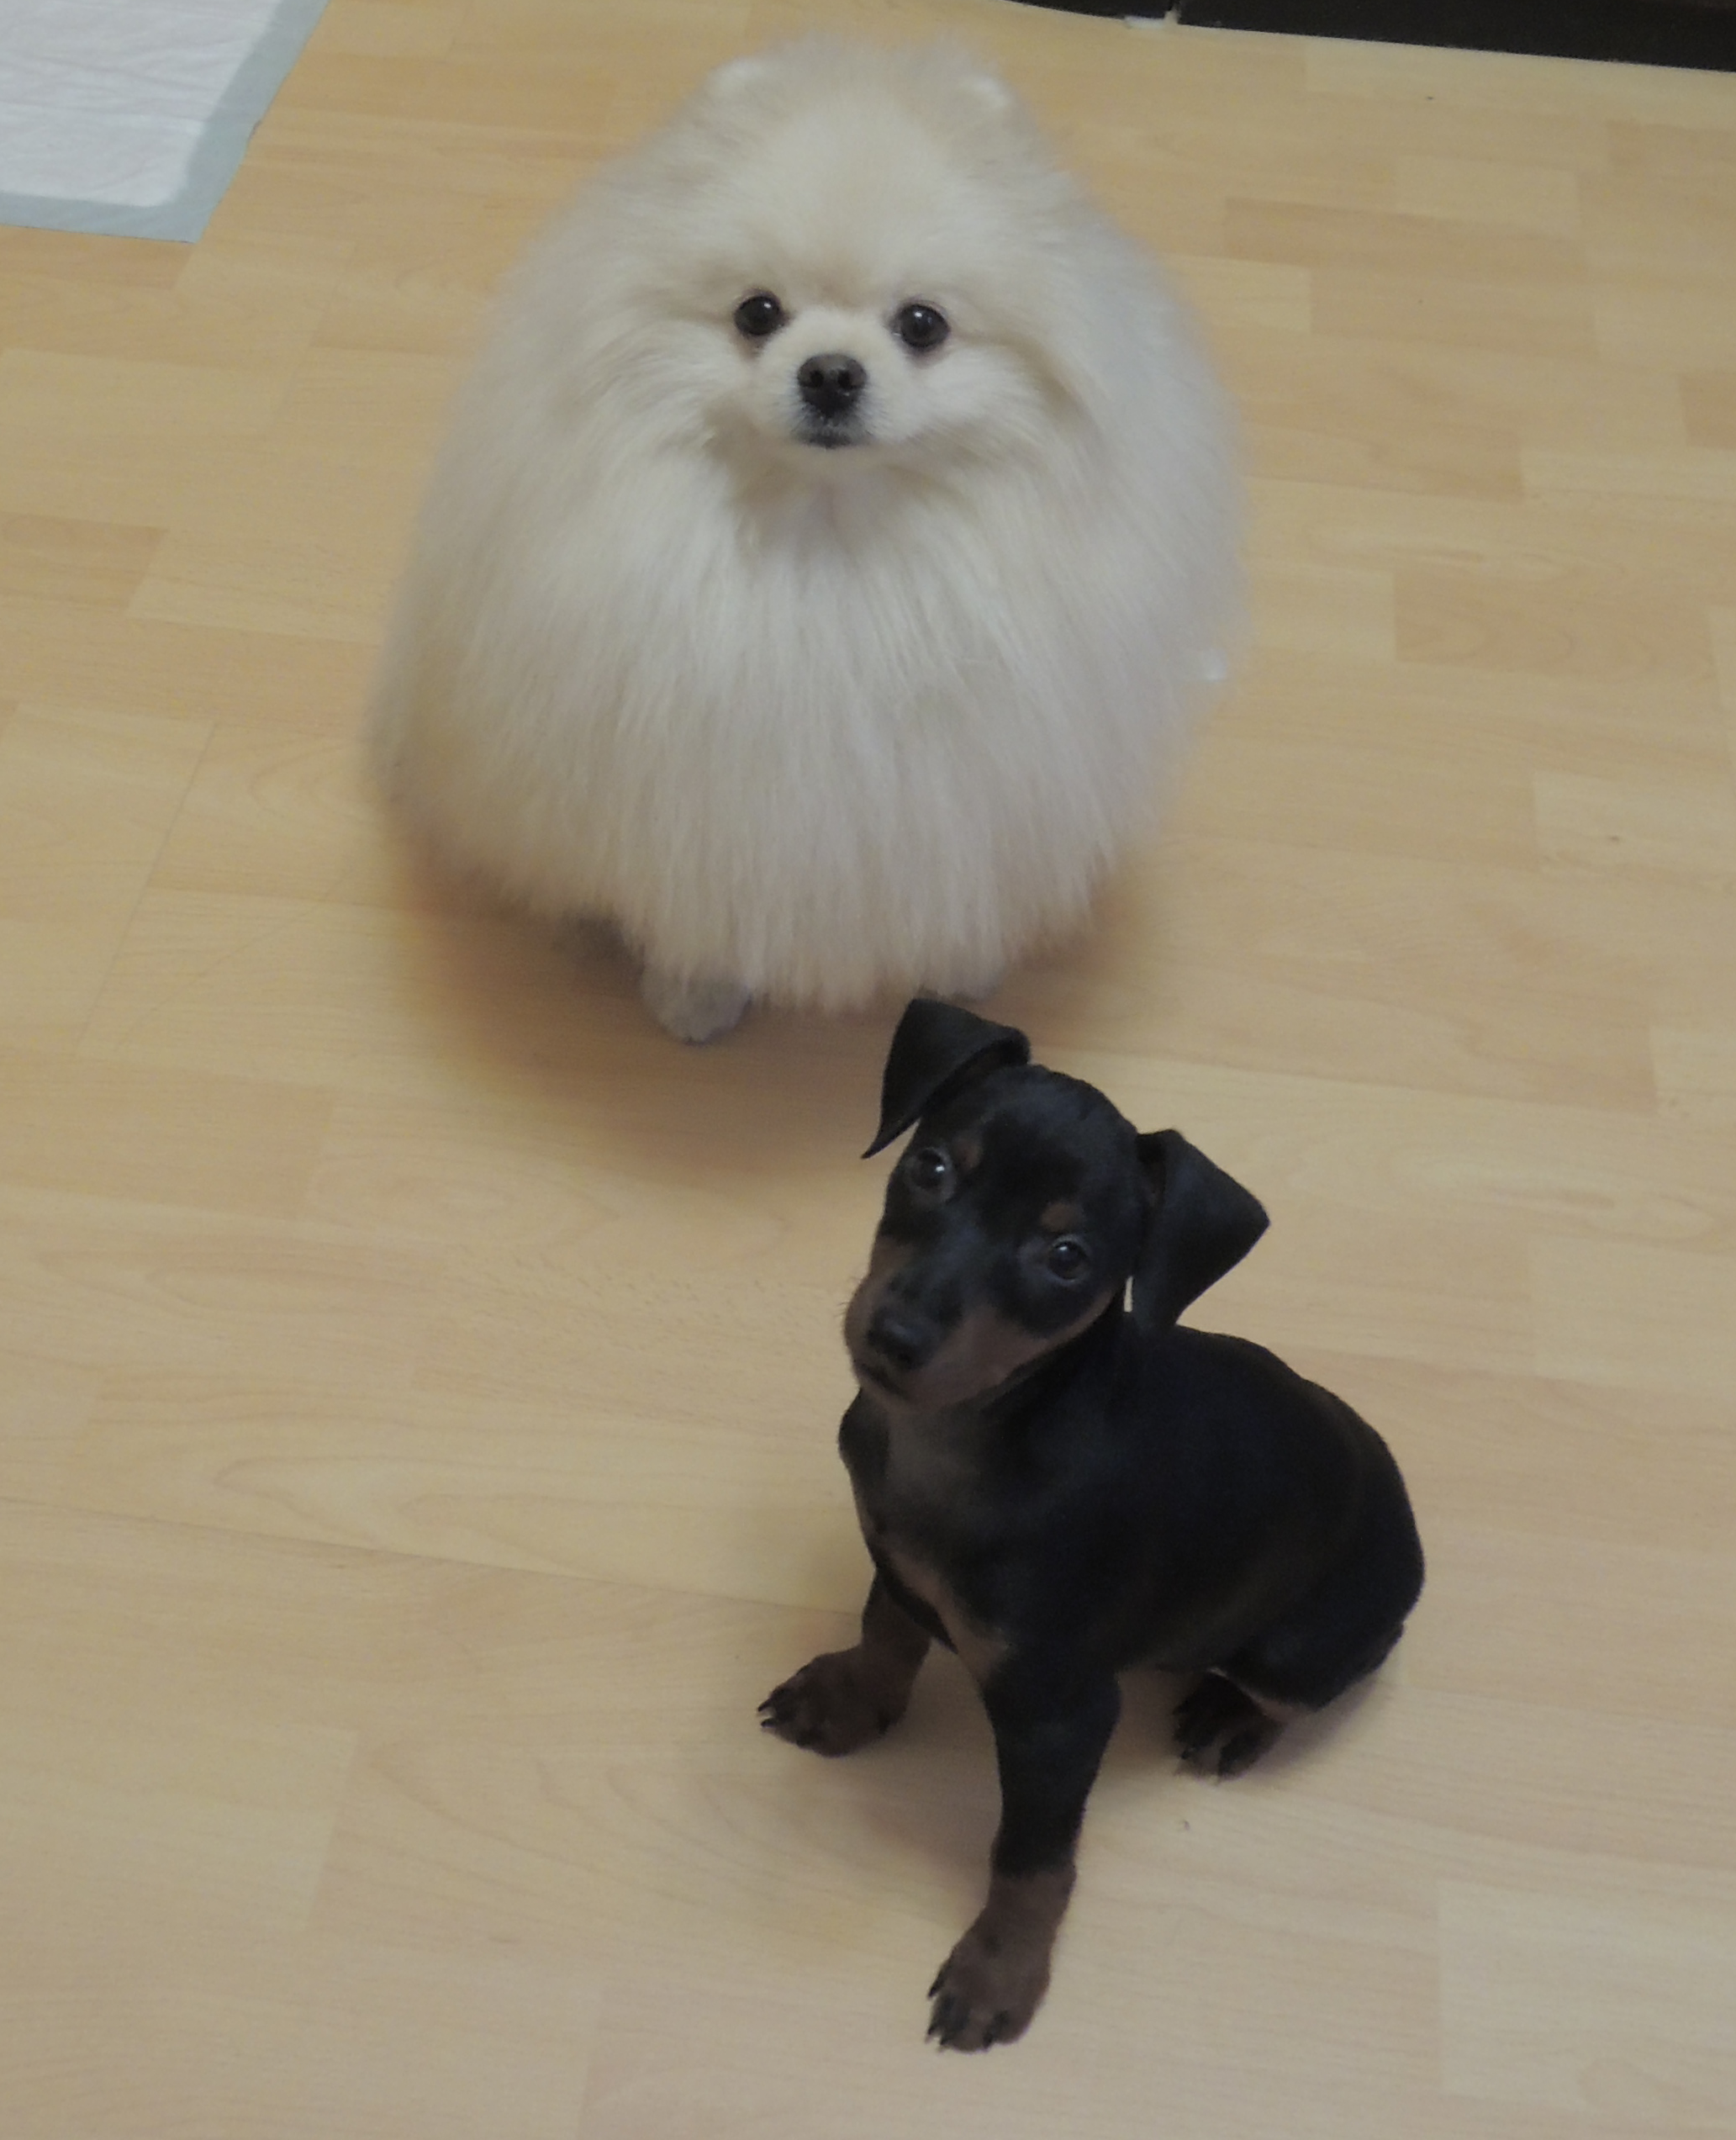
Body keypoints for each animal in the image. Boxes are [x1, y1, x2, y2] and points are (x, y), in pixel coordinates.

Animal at [369, 40, 1239, 1042]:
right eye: (757, 313)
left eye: (921, 324)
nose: (830, 372)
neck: (831, 542)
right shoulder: (705, 801)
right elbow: (702, 904)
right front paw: (695, 994)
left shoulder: (965, 787)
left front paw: (959, 964)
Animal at [759, 999, 1425, 2049]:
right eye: (931, 1167)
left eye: (1066, 1259)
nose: (894, 1337)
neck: (972, 1436)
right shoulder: (896, 1558)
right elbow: (886, 1630)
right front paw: (850, 1697)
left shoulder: (1060, 1714)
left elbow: (1031, 1859)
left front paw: (999, 1970)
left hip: (1302, 1642)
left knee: (1311, 1685)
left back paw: (1234, 1717)